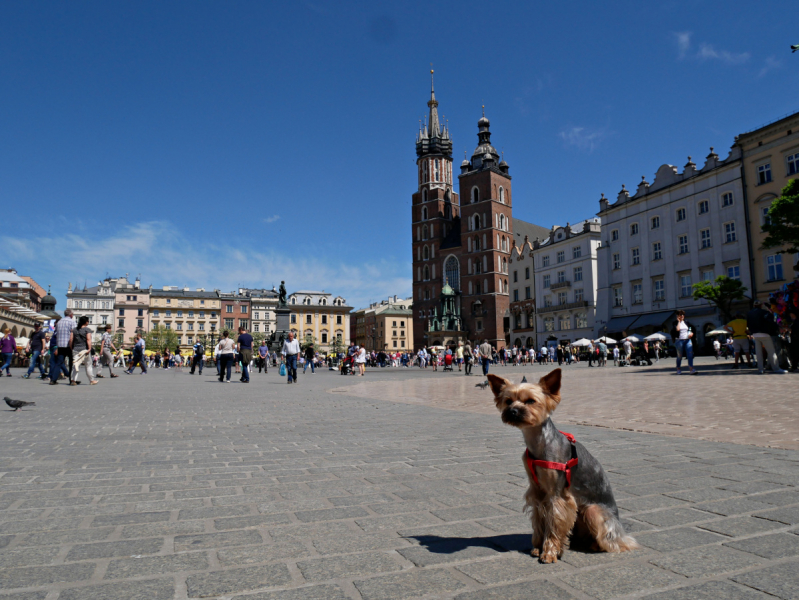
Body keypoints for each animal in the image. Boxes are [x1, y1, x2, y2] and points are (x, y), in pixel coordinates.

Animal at [484, 370, 640, 564]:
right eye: (508, 401)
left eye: (530, 401)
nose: (512, 411)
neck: (539, 442)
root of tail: (620, 526)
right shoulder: (537, 492)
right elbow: (539, 521)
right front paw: (538, 547)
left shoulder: (557, 494)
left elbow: (554, 524)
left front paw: (549, 552)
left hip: (593, 511)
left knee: (618, 542)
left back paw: (599, 545)